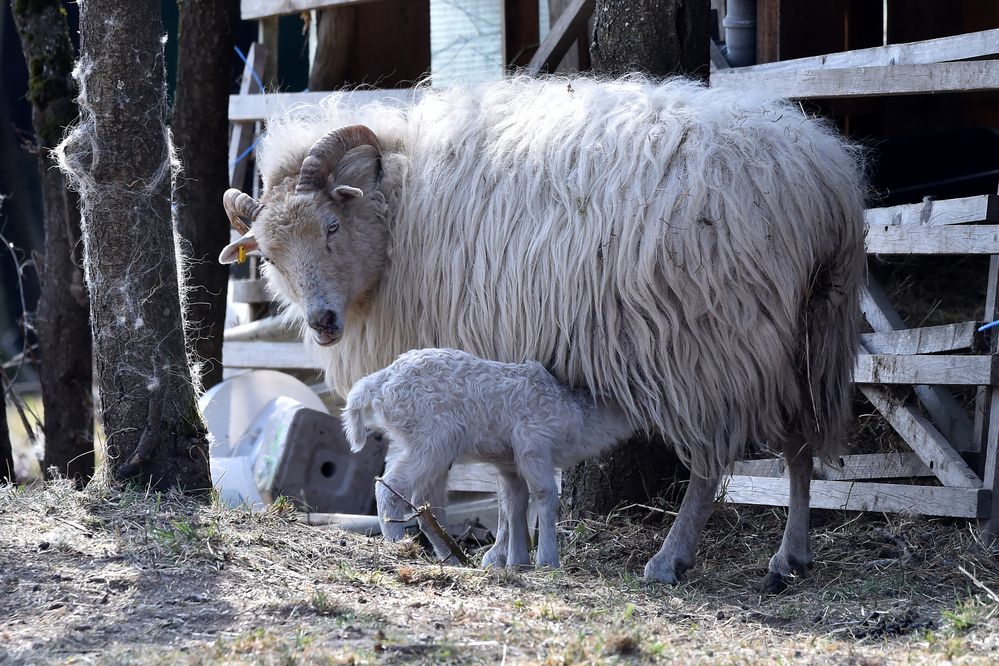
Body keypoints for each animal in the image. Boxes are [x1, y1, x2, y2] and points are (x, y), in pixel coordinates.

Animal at [344, 348, 632, 564]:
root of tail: (380, 381)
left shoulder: (509, 460)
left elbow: (514, 501)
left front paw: (515, 561)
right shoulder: (533, 442)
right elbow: (545, 493)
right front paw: (547, 561)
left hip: (419, 443)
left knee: (426, 503)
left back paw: (453, 558)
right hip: (431, 438)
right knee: (390, 488)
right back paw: (398, 544)